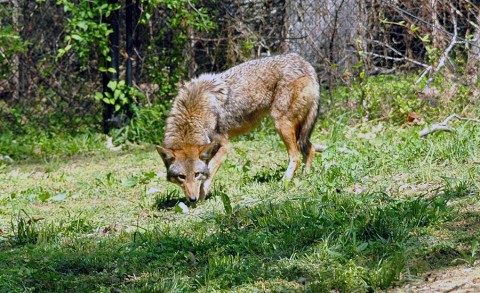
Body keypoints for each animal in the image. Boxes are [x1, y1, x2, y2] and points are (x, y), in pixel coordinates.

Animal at [158, 52, 320, 202]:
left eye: (196, 174)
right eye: (181, 177)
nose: (192, 199)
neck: (194, 115)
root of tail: (304, 62)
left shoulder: (224, 147)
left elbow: (209, 173)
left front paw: (202, 197)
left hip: (281, 125)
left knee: (296, 157)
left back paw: (283, 183)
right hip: (297, 130)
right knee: (310, 149)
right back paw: (306, 176)